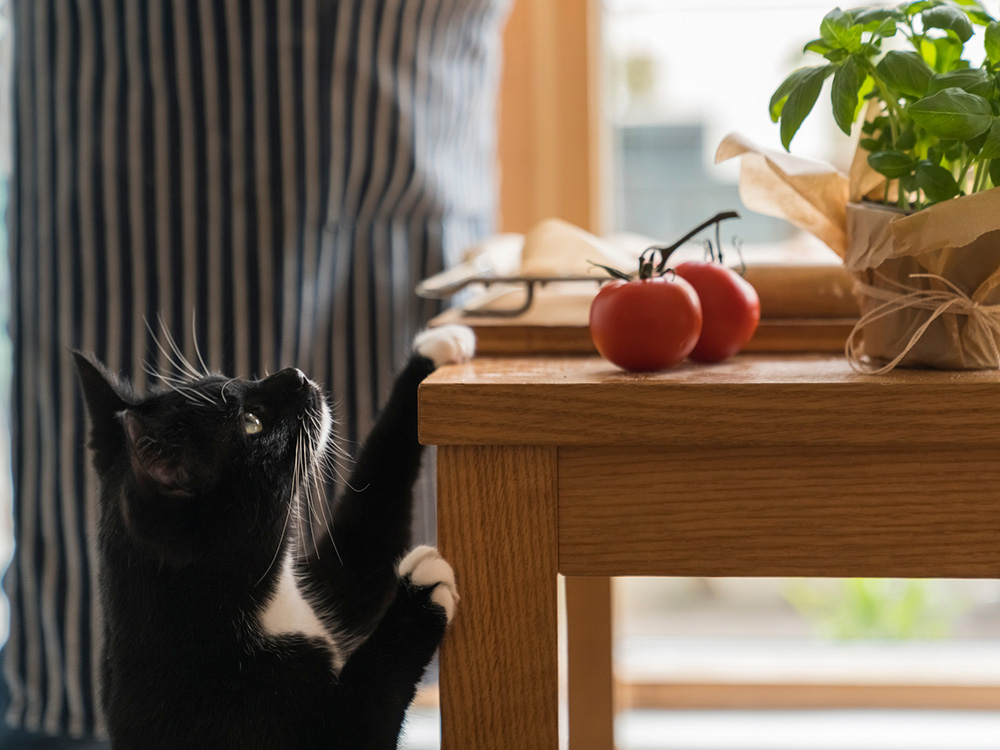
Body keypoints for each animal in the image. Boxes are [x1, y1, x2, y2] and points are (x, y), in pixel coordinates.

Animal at [74, 326, 472, 748]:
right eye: (252, 424)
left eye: (225, 376)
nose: (293, 374)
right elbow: (372, 695)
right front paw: (420, 594)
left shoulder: (326, 595)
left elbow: (370, 527)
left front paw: (435, 347)